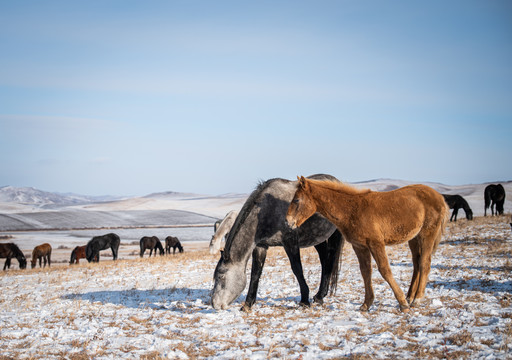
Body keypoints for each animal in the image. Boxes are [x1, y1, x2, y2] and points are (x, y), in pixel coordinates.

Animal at [210, 174, 346, 310]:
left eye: (221, 276)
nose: (214, 304)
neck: (266, 211)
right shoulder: (261, 246)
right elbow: (255, 273)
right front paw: (248, 304)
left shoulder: (290, 243)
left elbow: (297, 269)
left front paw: (304, 300)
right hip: (317, 238)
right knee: (324, 261)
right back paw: (319, 296)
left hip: (334, 234)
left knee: (330, 260)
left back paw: (320, 296)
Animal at [286, 176, 450, 312]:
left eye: (296, 200)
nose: (288, 222)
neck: (353, 210)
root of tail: (440, 197)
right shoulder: (360, 246)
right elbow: (365, 272)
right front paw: (366, 304)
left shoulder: (376, 243)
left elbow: (385, 270)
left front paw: (402, 304)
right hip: (413, 239)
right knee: (416, 264)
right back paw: (410, 296)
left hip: (426, 235)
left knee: (424, 263)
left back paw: (416, 299)